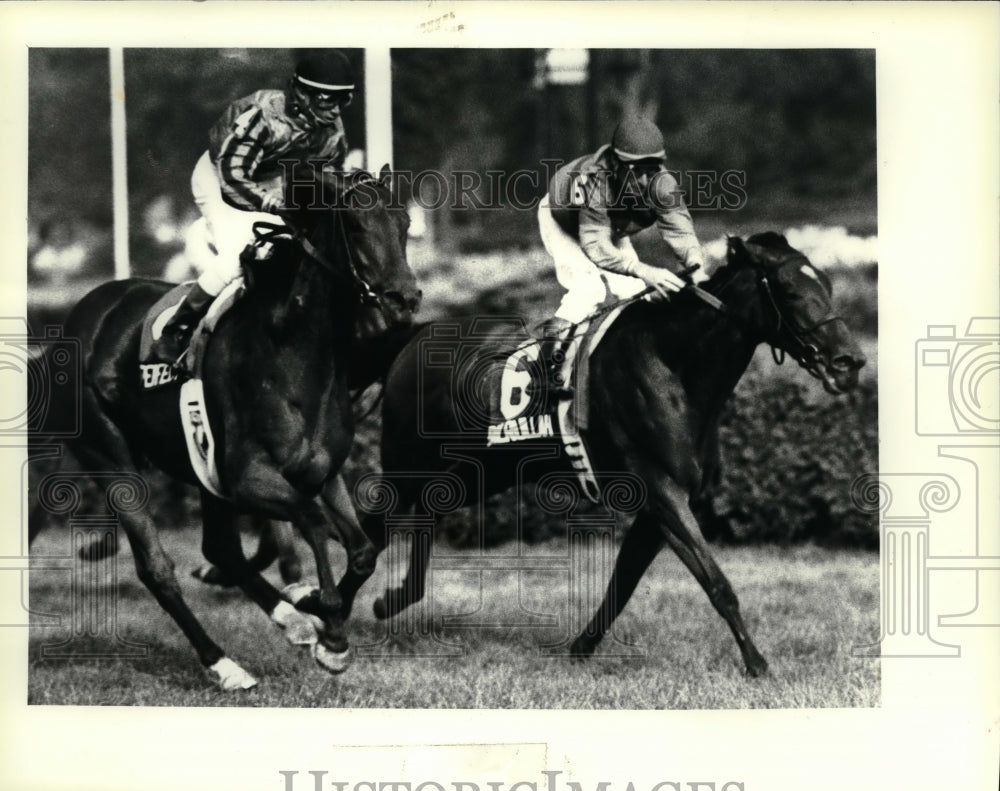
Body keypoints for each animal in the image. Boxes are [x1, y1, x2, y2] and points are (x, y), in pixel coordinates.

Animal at [27, 170, 418, 688]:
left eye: (405, 222)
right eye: (354, 225)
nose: (405, 299)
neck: (292, 353)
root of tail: (83, 314)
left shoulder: (322, 471)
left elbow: (361, 550)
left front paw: (318, 615)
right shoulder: (248, 478)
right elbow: (313, 522)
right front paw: (328, 623)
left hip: (200, 468)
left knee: (221, 548)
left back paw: (290, 621)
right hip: (110, 456)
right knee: (157, 567)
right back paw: (224, 663)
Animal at [336, 232, 868, 676]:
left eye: (827, 284)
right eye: (791, 291)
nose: (851, 361)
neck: (674, 365)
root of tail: (417, 335)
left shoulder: (663, 502)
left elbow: (624, 582)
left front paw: (581, 648)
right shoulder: (660, 489)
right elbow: (717, 583)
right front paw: (756, 663)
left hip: (476, 472)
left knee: (423, 516)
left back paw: (391, 600)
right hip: (407, 461)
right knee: (374, 529)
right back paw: (332, 610)